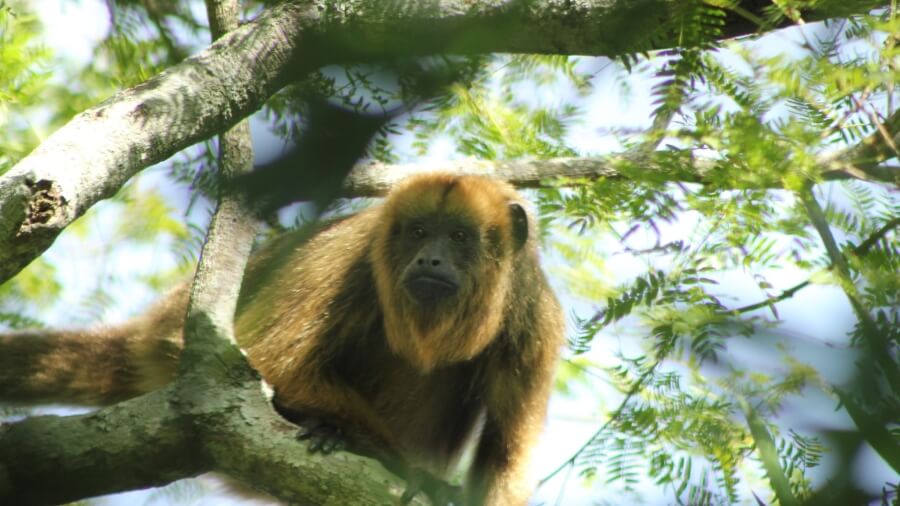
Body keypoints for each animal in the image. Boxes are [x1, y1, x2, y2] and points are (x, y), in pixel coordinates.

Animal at [0, 173, 565, 505]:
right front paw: (398, 464)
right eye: (419, 232)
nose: (429, 260)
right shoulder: (350, 253)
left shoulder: (535, 320)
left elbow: (506, 456)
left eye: (460, 237)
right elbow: (273, 361)